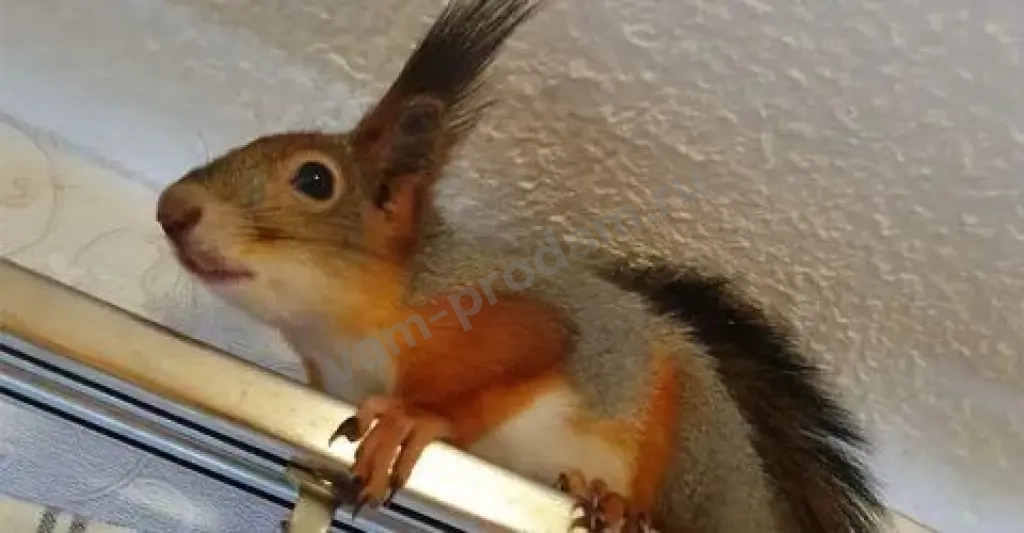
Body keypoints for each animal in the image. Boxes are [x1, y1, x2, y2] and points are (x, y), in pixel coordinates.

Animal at [155, 0, 886, 531]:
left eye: (314, 179)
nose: (172, 209)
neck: (343, 332)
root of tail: (760, 505)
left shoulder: (504, 313)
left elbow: (514, 361)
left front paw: (413, 420)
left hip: (697, 444)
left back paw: (620, 503)